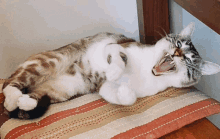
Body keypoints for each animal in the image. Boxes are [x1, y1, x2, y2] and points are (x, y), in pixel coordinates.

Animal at [2, 22, 220, 119]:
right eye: (178, 43)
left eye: (190, 61)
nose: (177, 53)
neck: (148, 70)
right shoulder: (114, 46)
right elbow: (119, 58)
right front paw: (115, 71)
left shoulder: (105, 88)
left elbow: (123, 97)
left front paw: (124, 93)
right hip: (51, 61)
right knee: (9, 84)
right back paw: (12, 98)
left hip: (65, 89)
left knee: (32, 96)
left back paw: (25, 102)